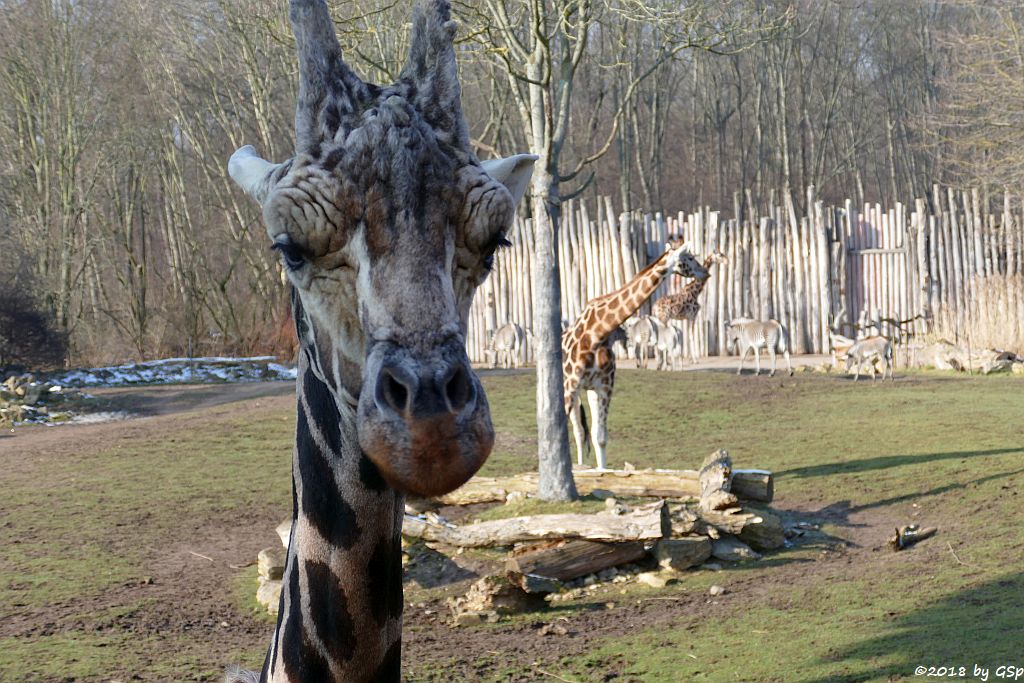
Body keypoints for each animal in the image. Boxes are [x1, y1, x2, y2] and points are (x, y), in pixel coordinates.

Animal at [565, 242, 708, 473]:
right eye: (689, 257)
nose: (705, 272)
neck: (599, 331)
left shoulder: (604, 386)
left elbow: (600, 438)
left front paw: (602, 474)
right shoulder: (571, 384)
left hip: (588, 391)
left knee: (584, 431)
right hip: (570, 388)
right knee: (575, 430)